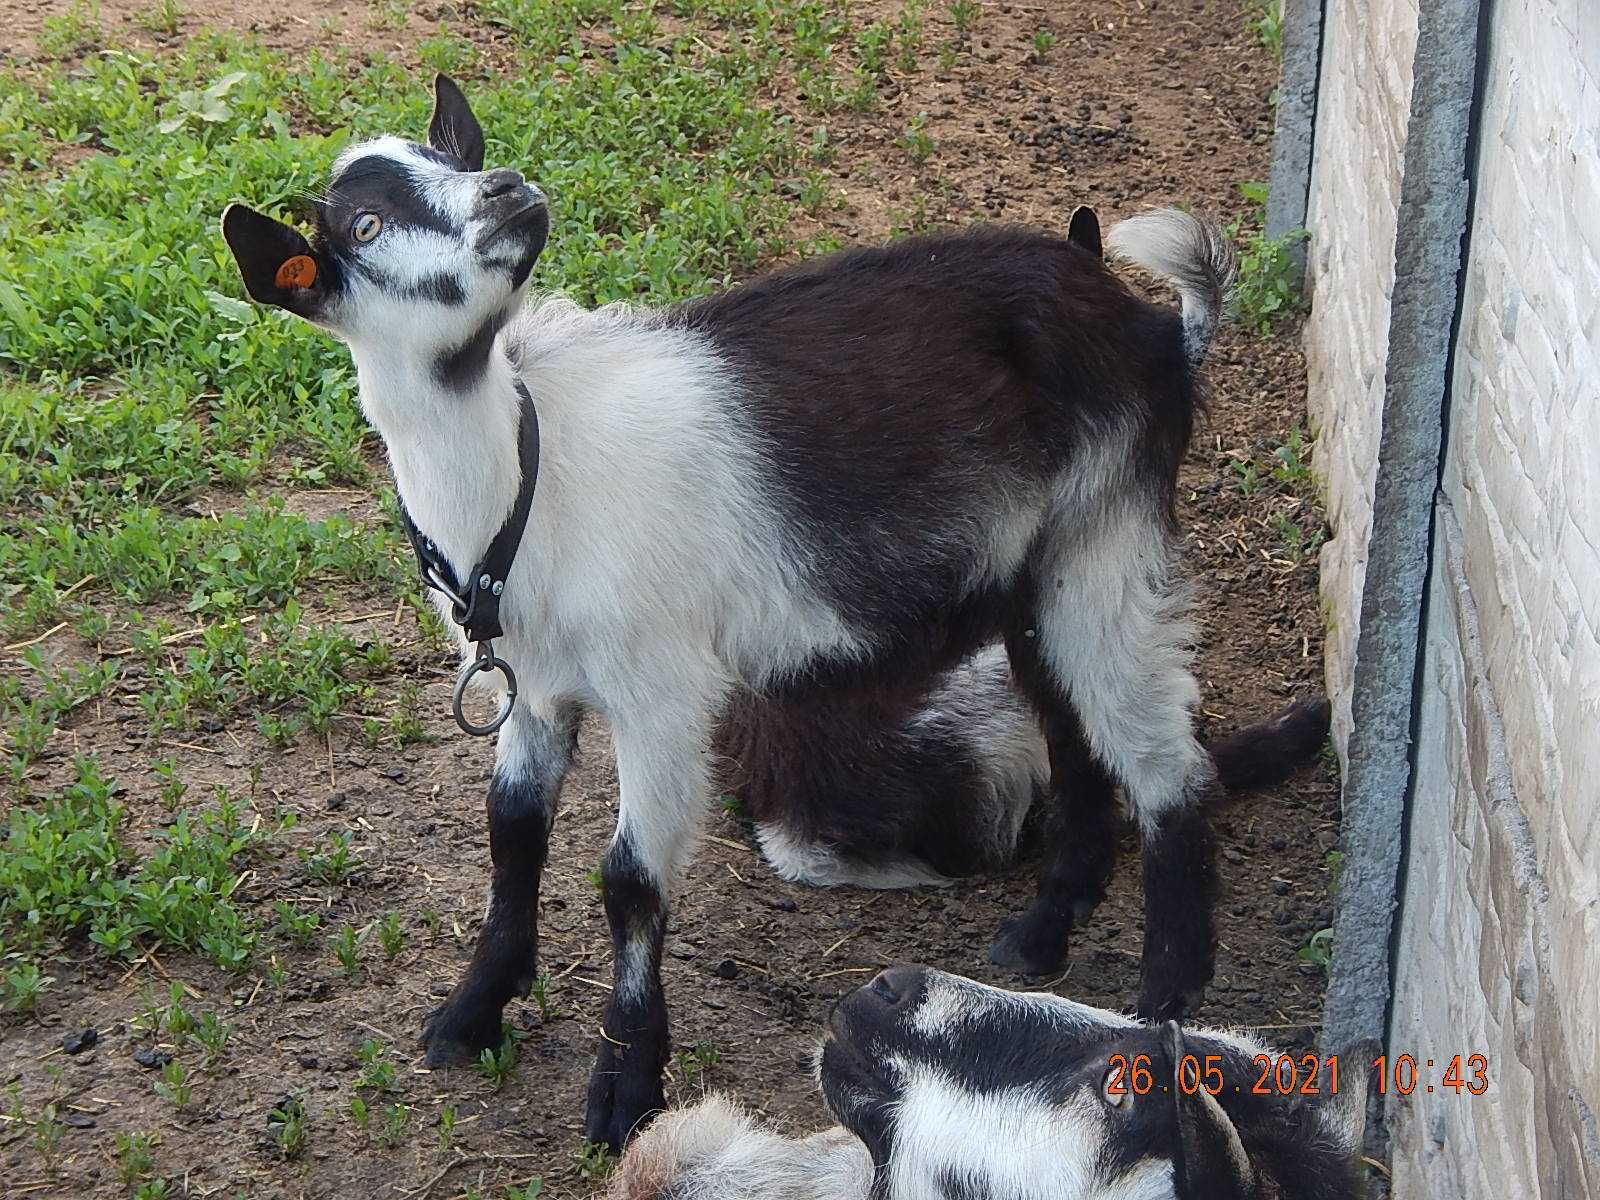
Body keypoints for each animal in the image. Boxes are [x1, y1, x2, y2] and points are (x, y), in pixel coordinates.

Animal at [222, 77, 1299, 1158]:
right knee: (1075, 733)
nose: (507, 189)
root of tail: (1155, 332)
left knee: (1163, 759)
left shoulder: (662, 690)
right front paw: (470, 1015)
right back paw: (1040, 937)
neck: (529, 475)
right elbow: (513, 831)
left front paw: (624, 1089)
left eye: (455, 160)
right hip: (1032, 572)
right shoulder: (535, 687)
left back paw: (1165, 1004)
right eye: (363, 223)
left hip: (1107, 530)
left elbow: (629, 880)